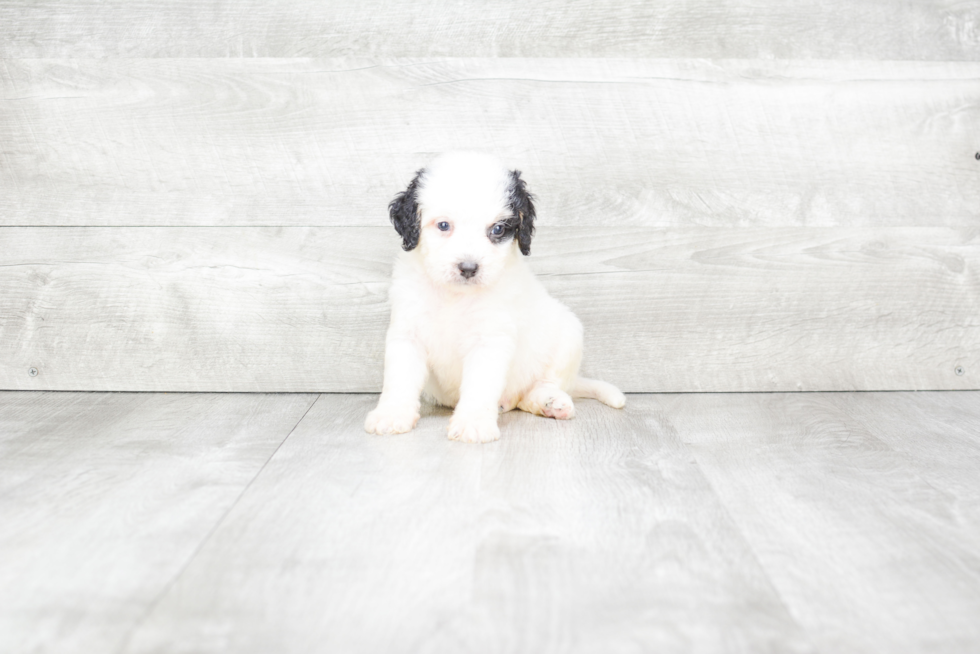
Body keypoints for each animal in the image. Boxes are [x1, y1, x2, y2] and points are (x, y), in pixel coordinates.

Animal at [364, 151, 624, 444]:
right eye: (443, 225)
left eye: (498, 229)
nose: (468, 268)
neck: (455, 296)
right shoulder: (408, 333)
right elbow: (400, 379)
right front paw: (391, 415)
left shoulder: (489, 339)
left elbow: (480, 383)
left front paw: (473, 423)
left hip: (568, 335)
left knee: (541, 386)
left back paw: (550, 401)